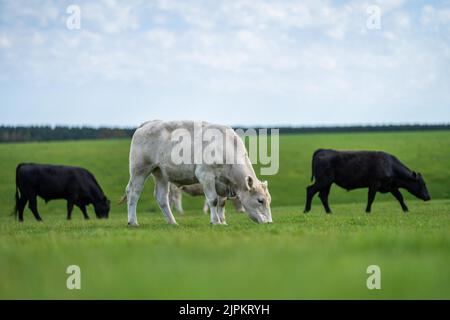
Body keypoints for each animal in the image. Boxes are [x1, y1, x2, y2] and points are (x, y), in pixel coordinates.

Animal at [121, 119, 272, 226]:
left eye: (269, 200)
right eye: (260, 200)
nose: (269, 222)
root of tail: (148, 123)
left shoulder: (222, 183)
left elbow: (221, 203)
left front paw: (223, 221)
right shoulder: (205, 175)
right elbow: (213, 200)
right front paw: (215, 222)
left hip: (160, 173)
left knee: (162, 197)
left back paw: (172, 222)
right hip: (140, 169)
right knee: (133, 192)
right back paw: (133, 221)